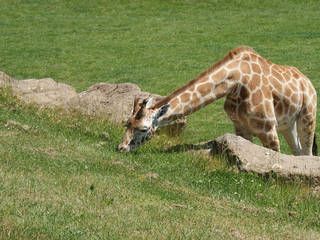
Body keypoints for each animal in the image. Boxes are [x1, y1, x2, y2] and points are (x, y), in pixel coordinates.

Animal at [118, 46, 318, 156]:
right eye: (127, 123)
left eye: (143, 128)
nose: (121, 148)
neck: (236, 82)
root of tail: (307, 81)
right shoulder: (241, 127)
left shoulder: (268, 129)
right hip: (287, 124)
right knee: (298, 153)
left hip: (308, 115)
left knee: (307, 153)